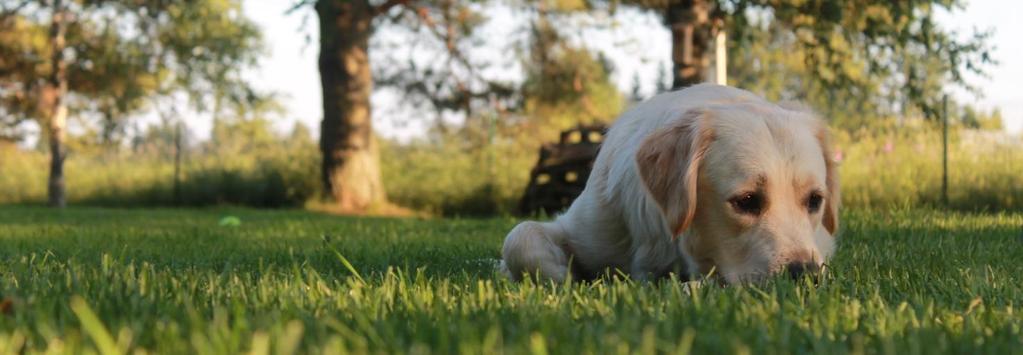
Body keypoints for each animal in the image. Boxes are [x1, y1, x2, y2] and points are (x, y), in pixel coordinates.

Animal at [499, 84, 834, 284]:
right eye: (747, 200)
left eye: (815, 200)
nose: (806, 275)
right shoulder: (586, 227)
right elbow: (519, 237)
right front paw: (561, 273)